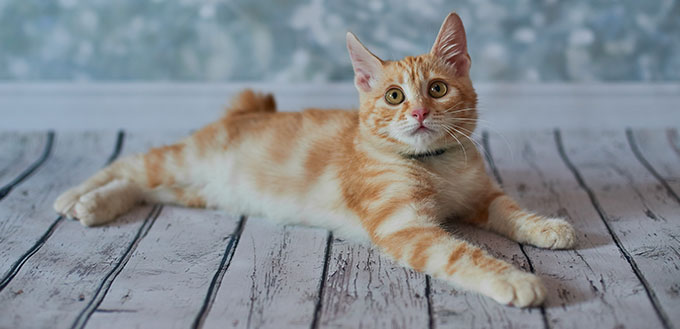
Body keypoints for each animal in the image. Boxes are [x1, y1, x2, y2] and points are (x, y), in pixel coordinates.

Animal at [54, 12, 572, 304]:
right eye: (394, 96)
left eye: (438, 89)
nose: (420, 112)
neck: (433, 162)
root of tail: (243, 113)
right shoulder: (405, 226)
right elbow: (462, 253)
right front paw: (515, 279)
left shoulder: (481, 195)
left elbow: (510, 209)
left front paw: (547, 226)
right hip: (184, 160)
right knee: (129, 165)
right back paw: (76, 196)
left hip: (197, 191)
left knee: (142, 188)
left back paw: (97, 205)